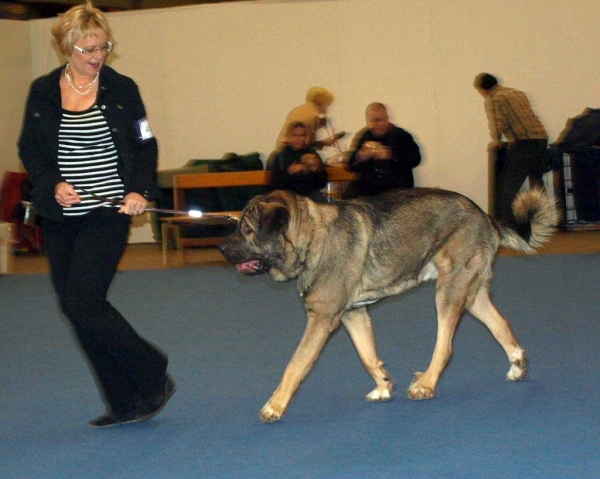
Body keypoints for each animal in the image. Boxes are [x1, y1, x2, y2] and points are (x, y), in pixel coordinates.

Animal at [219, 188, 556, 424]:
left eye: (247, 230)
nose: (221, 247)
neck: (313, 239)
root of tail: (485, 216)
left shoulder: (322, 318)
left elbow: (295, 364)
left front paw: (274, 406)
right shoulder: (353, 314)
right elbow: (367, 355)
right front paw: (383, 385)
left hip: (449, 291)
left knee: (446, 347)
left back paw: (426, 384)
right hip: (471, 294)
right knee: (501, 325)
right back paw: (517, 365)